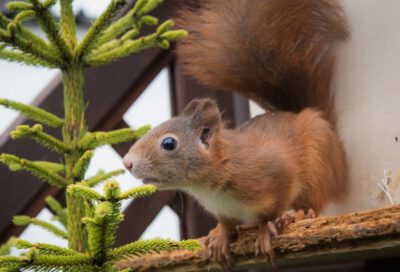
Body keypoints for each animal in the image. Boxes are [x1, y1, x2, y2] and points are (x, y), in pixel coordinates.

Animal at [123, 0, 348, 270]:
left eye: (168, 143)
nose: (127, 163)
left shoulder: (278, 173)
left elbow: (272, 209)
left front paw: (265, 228)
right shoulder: (222, 209)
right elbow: (227, 222)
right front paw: (220, 235)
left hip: (318, 167)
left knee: (313, 200)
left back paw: (298, 214)